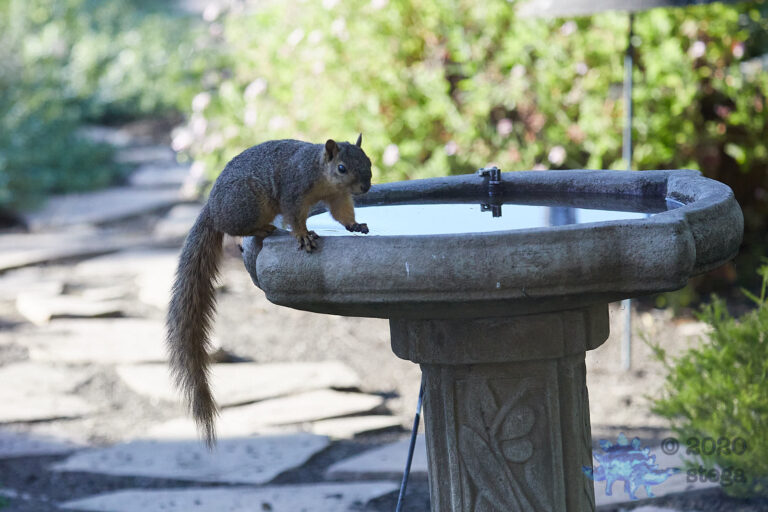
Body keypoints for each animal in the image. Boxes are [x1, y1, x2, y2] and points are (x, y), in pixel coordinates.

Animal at [166, 135, 372, 447]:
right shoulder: (293, 192)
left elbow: (342, 212)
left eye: (368, 161)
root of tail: (212, 208)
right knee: (236, 227)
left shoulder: (337, 197)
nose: (366, 187)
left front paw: (355, 224)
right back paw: (263, 229)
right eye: (342, 167)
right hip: (249, 203)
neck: (319, 173)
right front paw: (303, 236)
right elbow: (295, 218)